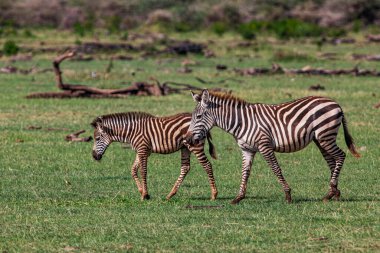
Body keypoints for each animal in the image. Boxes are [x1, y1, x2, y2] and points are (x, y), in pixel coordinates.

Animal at [90, 111, 218, 201]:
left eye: (97, 138)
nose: (94, 156)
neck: (131, 132)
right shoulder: (141, 150)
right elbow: (133, 170)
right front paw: (142, 192)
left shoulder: (142, 150)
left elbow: (143, 171)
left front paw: (145, 195)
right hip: (185, 147)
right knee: (185, 168)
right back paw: (170, 194)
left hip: (195, 146)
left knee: (207, 165)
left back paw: (214, 194)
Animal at [186, 90, 360, 205]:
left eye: (199, 117)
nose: (187, 139)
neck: (241, 122)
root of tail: (335, 103)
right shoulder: (247, 149)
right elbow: (245, 172)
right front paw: (238, 197)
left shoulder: (264, 145)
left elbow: (276, 168)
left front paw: (288, 195)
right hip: (321, 139)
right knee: (332, 161)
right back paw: (332, 193)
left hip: (325, 135)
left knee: (341, 156)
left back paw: (333, 188)